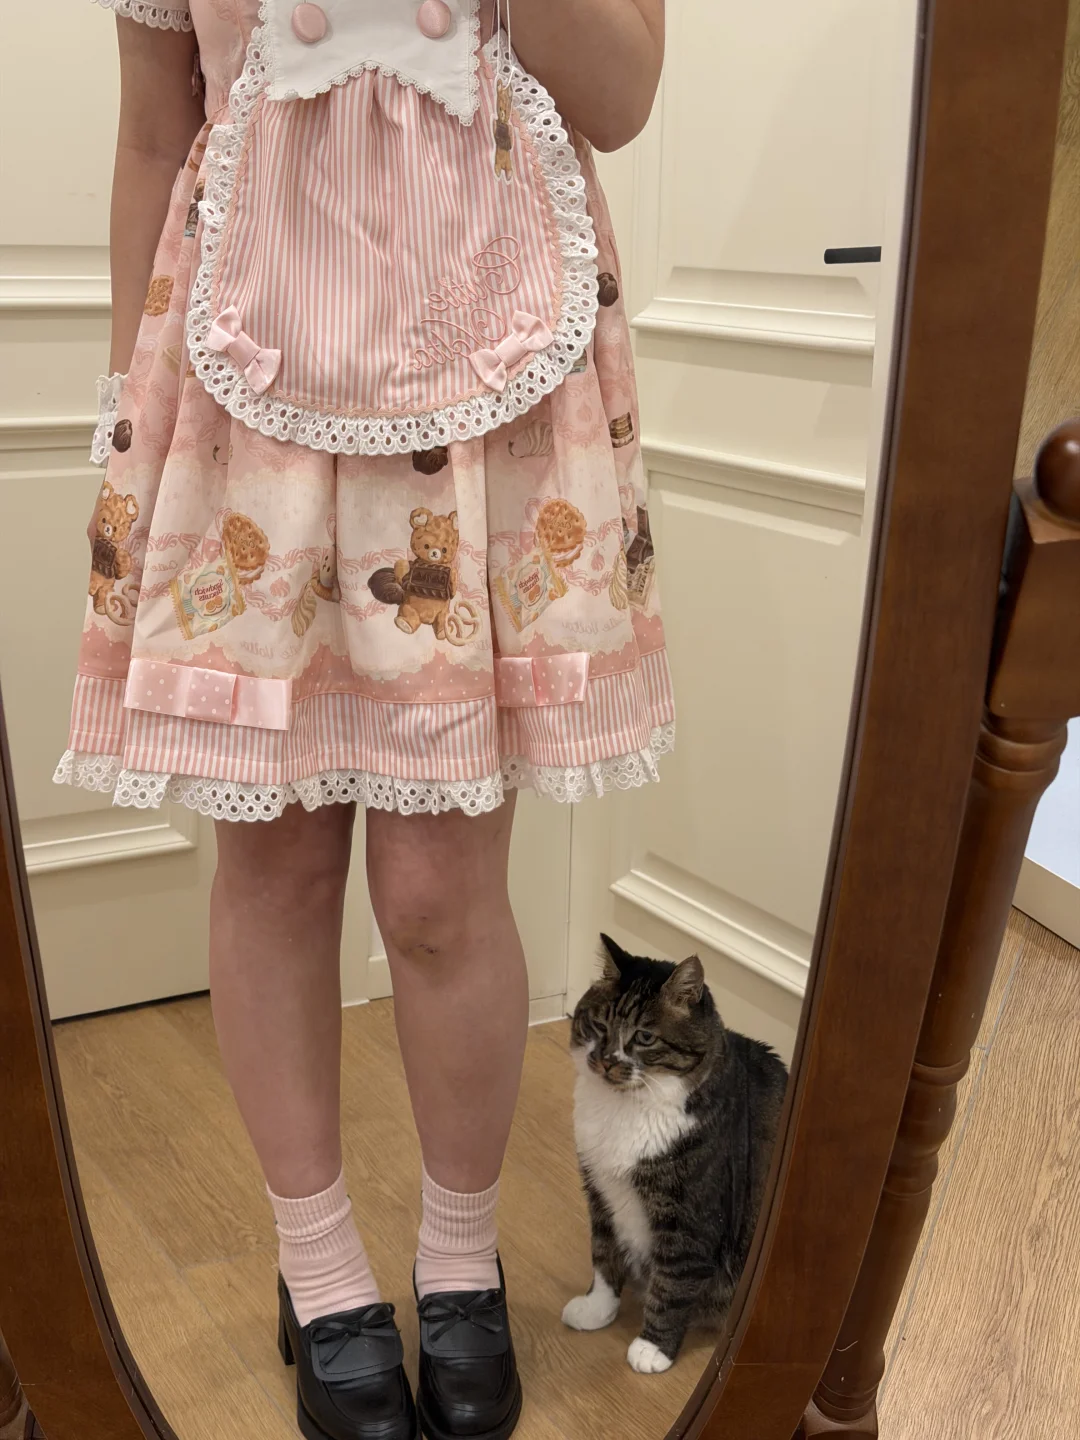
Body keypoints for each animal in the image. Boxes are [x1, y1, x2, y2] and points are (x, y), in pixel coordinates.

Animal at [562, 934, 789, 1374]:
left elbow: (673, 1281)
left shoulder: (690, 1215)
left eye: (645, 1038)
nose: (606, 1060)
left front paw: (653, 1348)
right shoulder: (599, 1188)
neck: (625, 1108)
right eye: (600, 1025)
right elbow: (604, 1252)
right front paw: (597, 1309)